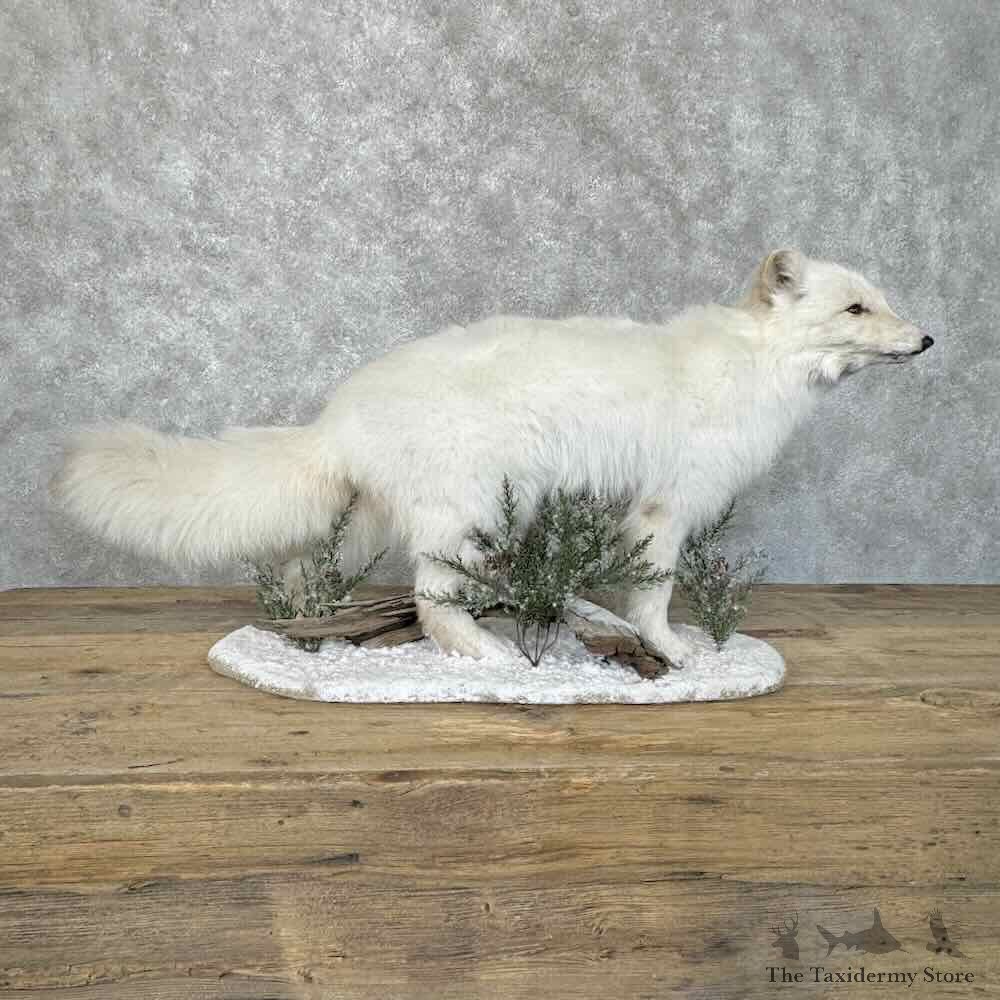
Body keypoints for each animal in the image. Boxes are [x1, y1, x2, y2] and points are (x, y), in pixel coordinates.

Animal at [49, 249, 933, 666]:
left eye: (885, 301)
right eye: (857, 308)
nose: (927, 339)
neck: (753, 364)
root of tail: (339, 417)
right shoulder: (667, 505)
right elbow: (654, 598)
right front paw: (673, 652)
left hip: (376, 524)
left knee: (306, 578)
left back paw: (310, 633)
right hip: (462, 514)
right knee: (431, 605)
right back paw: (485, 655)